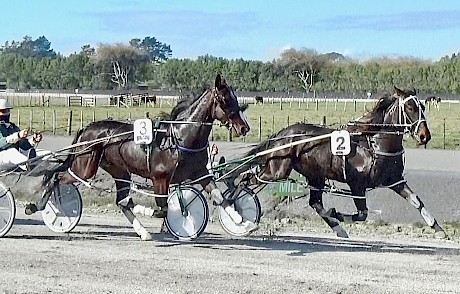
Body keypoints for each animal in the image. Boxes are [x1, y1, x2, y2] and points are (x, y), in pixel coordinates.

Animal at [27, 74, 252, 240]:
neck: (179, 137)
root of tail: (86, 128)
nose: (244, 128)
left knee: (120, 201)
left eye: (235, 98)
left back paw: (143, 232)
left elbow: (220, 197)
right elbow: (162, 210)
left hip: (120, 172)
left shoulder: (200, 173)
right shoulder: (160, 178)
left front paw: (243, 221)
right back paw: (37, 205)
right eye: (225, 99)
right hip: (85, 167)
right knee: (57, 177)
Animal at [226, 86, 446, 239]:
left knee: (315, 203)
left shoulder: (395, 181)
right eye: (410, 107)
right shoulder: (356, 184)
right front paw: (338, 213)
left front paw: (438, 229)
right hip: (277, 170)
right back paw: (234, 210)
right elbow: (362, 214)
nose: (425, 135)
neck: (374, 143)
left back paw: (338, 228)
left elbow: (416, 201)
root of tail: (282, 133)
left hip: (315, 175)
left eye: (422, 106)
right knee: (245, 181)